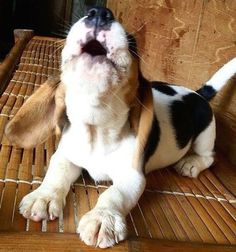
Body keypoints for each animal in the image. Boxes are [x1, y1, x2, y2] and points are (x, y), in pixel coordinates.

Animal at [5, 6, 236, 249]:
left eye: (133, 44)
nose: (99, 13)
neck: (96, 128)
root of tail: (198, 93)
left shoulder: (132, 176)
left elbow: (113, 194)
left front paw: (102, 218)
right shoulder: (66, 155)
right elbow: (56, 173)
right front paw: (44, 196)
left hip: (205, 134)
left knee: (209, 157)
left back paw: (191, 163)